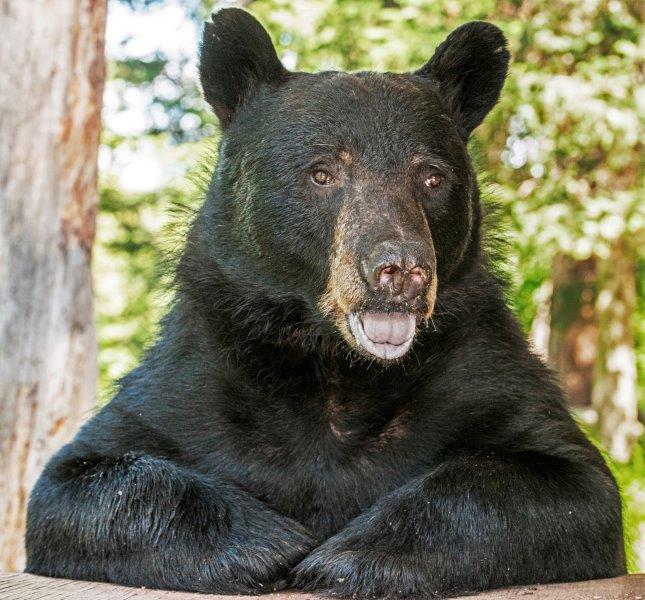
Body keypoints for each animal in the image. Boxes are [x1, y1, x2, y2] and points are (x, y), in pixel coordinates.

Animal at [25, 8, 626, 598]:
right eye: (322, 172)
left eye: (432, 177)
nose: (400, 270)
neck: (333, 366)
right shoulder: (190, 377)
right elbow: (78, 481)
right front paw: (271, 544)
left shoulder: (482, 367)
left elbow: (570, 483)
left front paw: (348, 557)